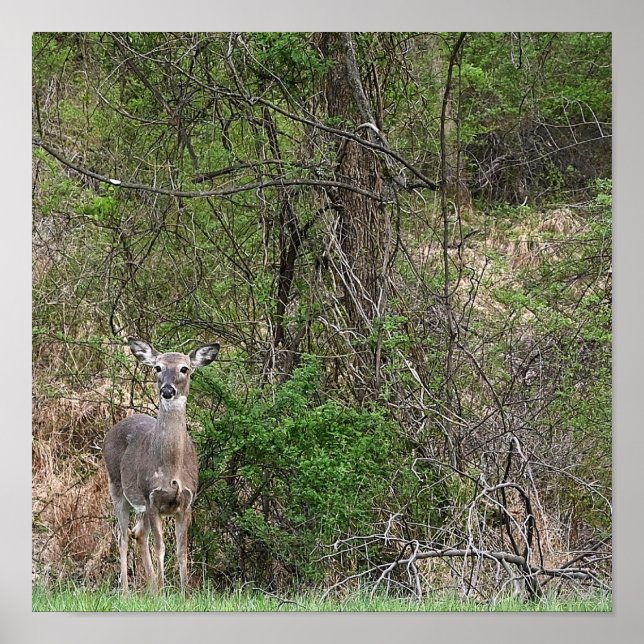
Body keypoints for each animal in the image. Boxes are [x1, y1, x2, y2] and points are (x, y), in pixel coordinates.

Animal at [103, 337, 220, 593]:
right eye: (157, 367)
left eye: (184, 368)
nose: (167, 390)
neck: (171, 469)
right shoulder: (152, 498)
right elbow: (161, 547)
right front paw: (166, 591)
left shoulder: (187, 501)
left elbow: (182, 550)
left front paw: (184, 592)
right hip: (117, 487)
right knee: (123, 537)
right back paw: (128, 592)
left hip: (141, 507)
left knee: (138, 534)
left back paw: (152, 589)